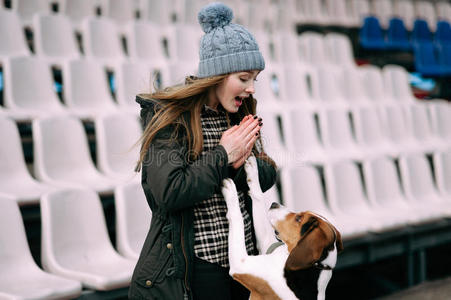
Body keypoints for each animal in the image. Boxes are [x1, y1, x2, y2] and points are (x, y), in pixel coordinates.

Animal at [222, 157, 342, 300]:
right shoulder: (265, 244)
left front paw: (230, 189)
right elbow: (258, 196)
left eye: (299, 218)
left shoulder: (240, 263)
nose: (274, 204)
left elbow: (237, 217)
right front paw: (252, 169)